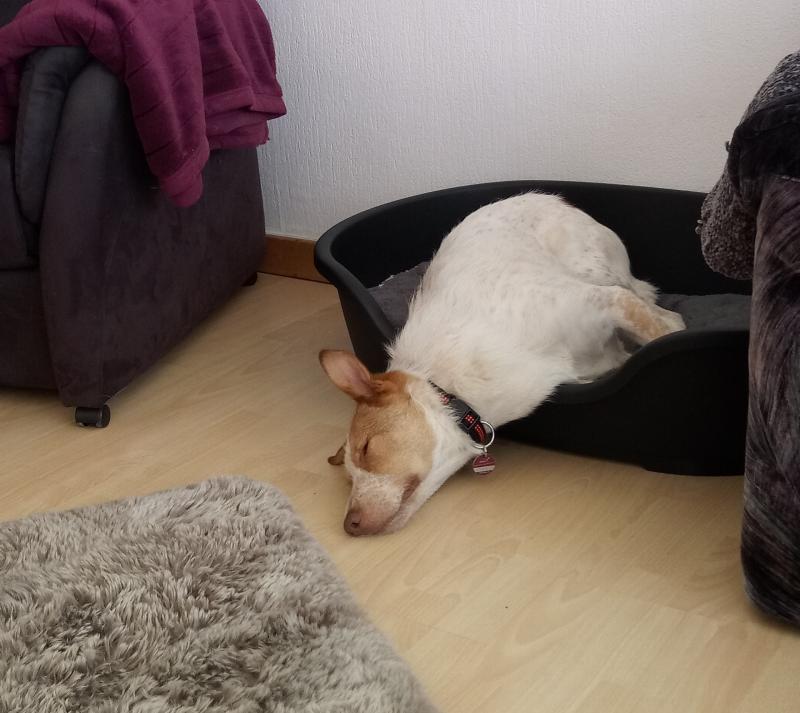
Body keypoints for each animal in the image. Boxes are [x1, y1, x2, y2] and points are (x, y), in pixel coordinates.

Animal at [320, 193, 685, 536]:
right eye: (349, 479)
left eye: (367, 449)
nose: (349, 525)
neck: (451, 387)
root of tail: (553, 199)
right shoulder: (601, 361)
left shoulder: (605, 301)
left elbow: (667, 327)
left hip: (599, 271)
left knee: (647, 297)